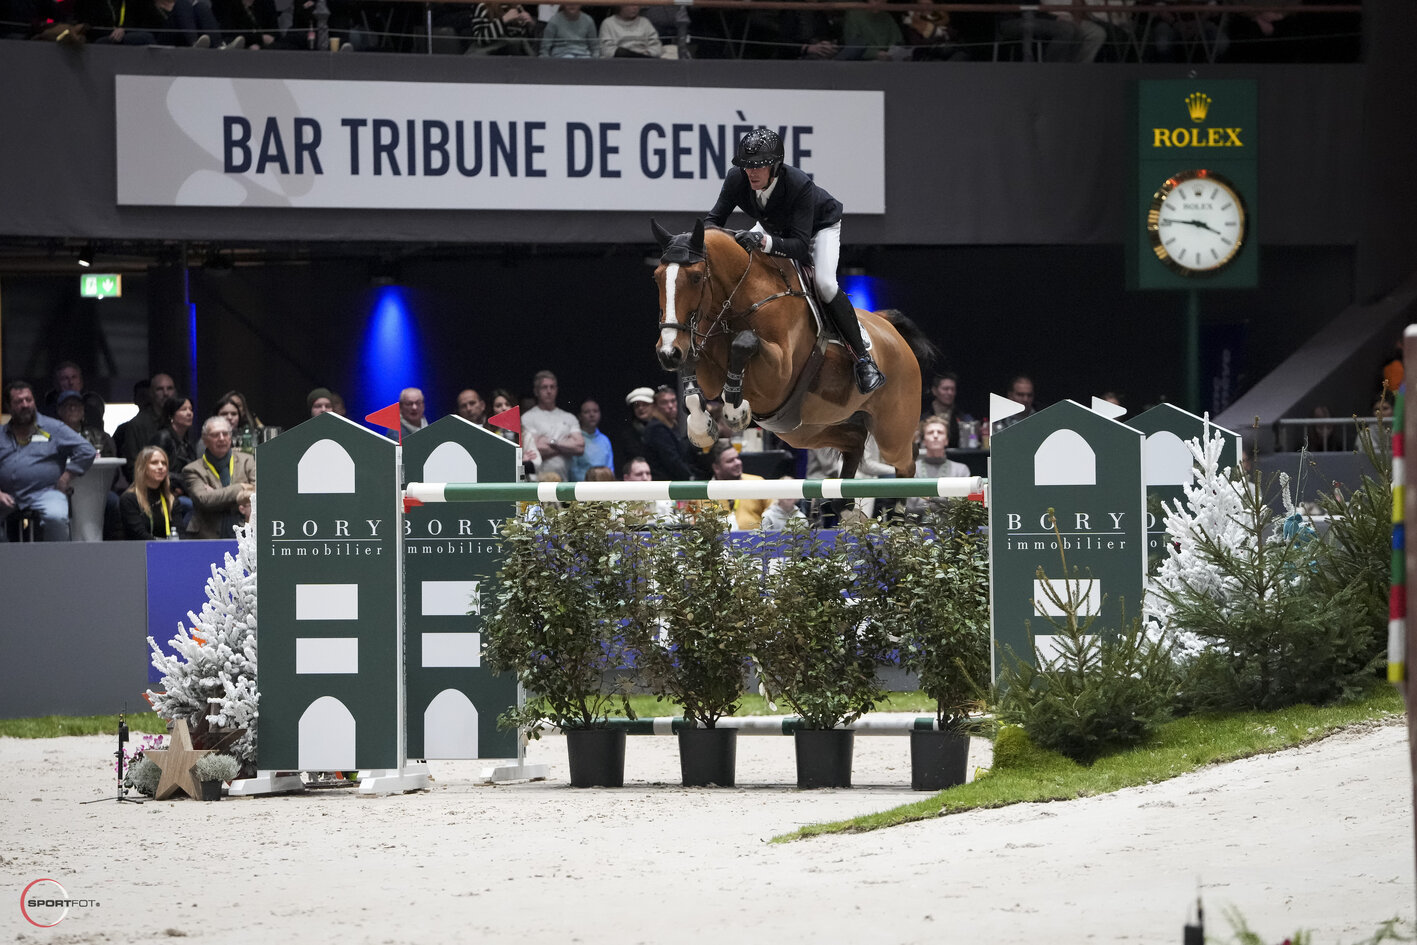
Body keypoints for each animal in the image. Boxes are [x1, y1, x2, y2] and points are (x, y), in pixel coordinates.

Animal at [648, 219, 935, 481]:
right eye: (657, 277)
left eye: (696, 277)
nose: (667, 353)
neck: (739, 302)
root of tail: (889, 327)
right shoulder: (707, 365)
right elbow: (694, 374)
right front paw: (701, 428)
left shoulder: (777, 375)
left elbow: (745, 342)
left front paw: (736, 411)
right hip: (805, 430)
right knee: (855, 441)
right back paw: (841, 503)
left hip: (891, 432)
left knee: (907, 460)